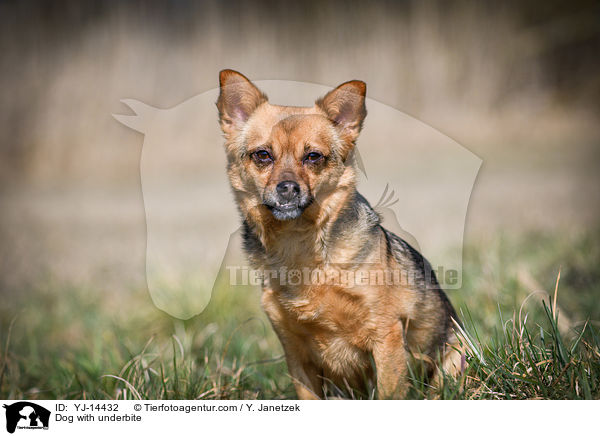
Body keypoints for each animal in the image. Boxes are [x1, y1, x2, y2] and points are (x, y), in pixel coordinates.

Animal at [218, 69, 462, 398]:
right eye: (263, 155)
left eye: (313, 157)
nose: (288, 188)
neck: (299, 246)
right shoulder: (296, 355)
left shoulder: (385, 338)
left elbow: (388, 394)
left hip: (454, 360)